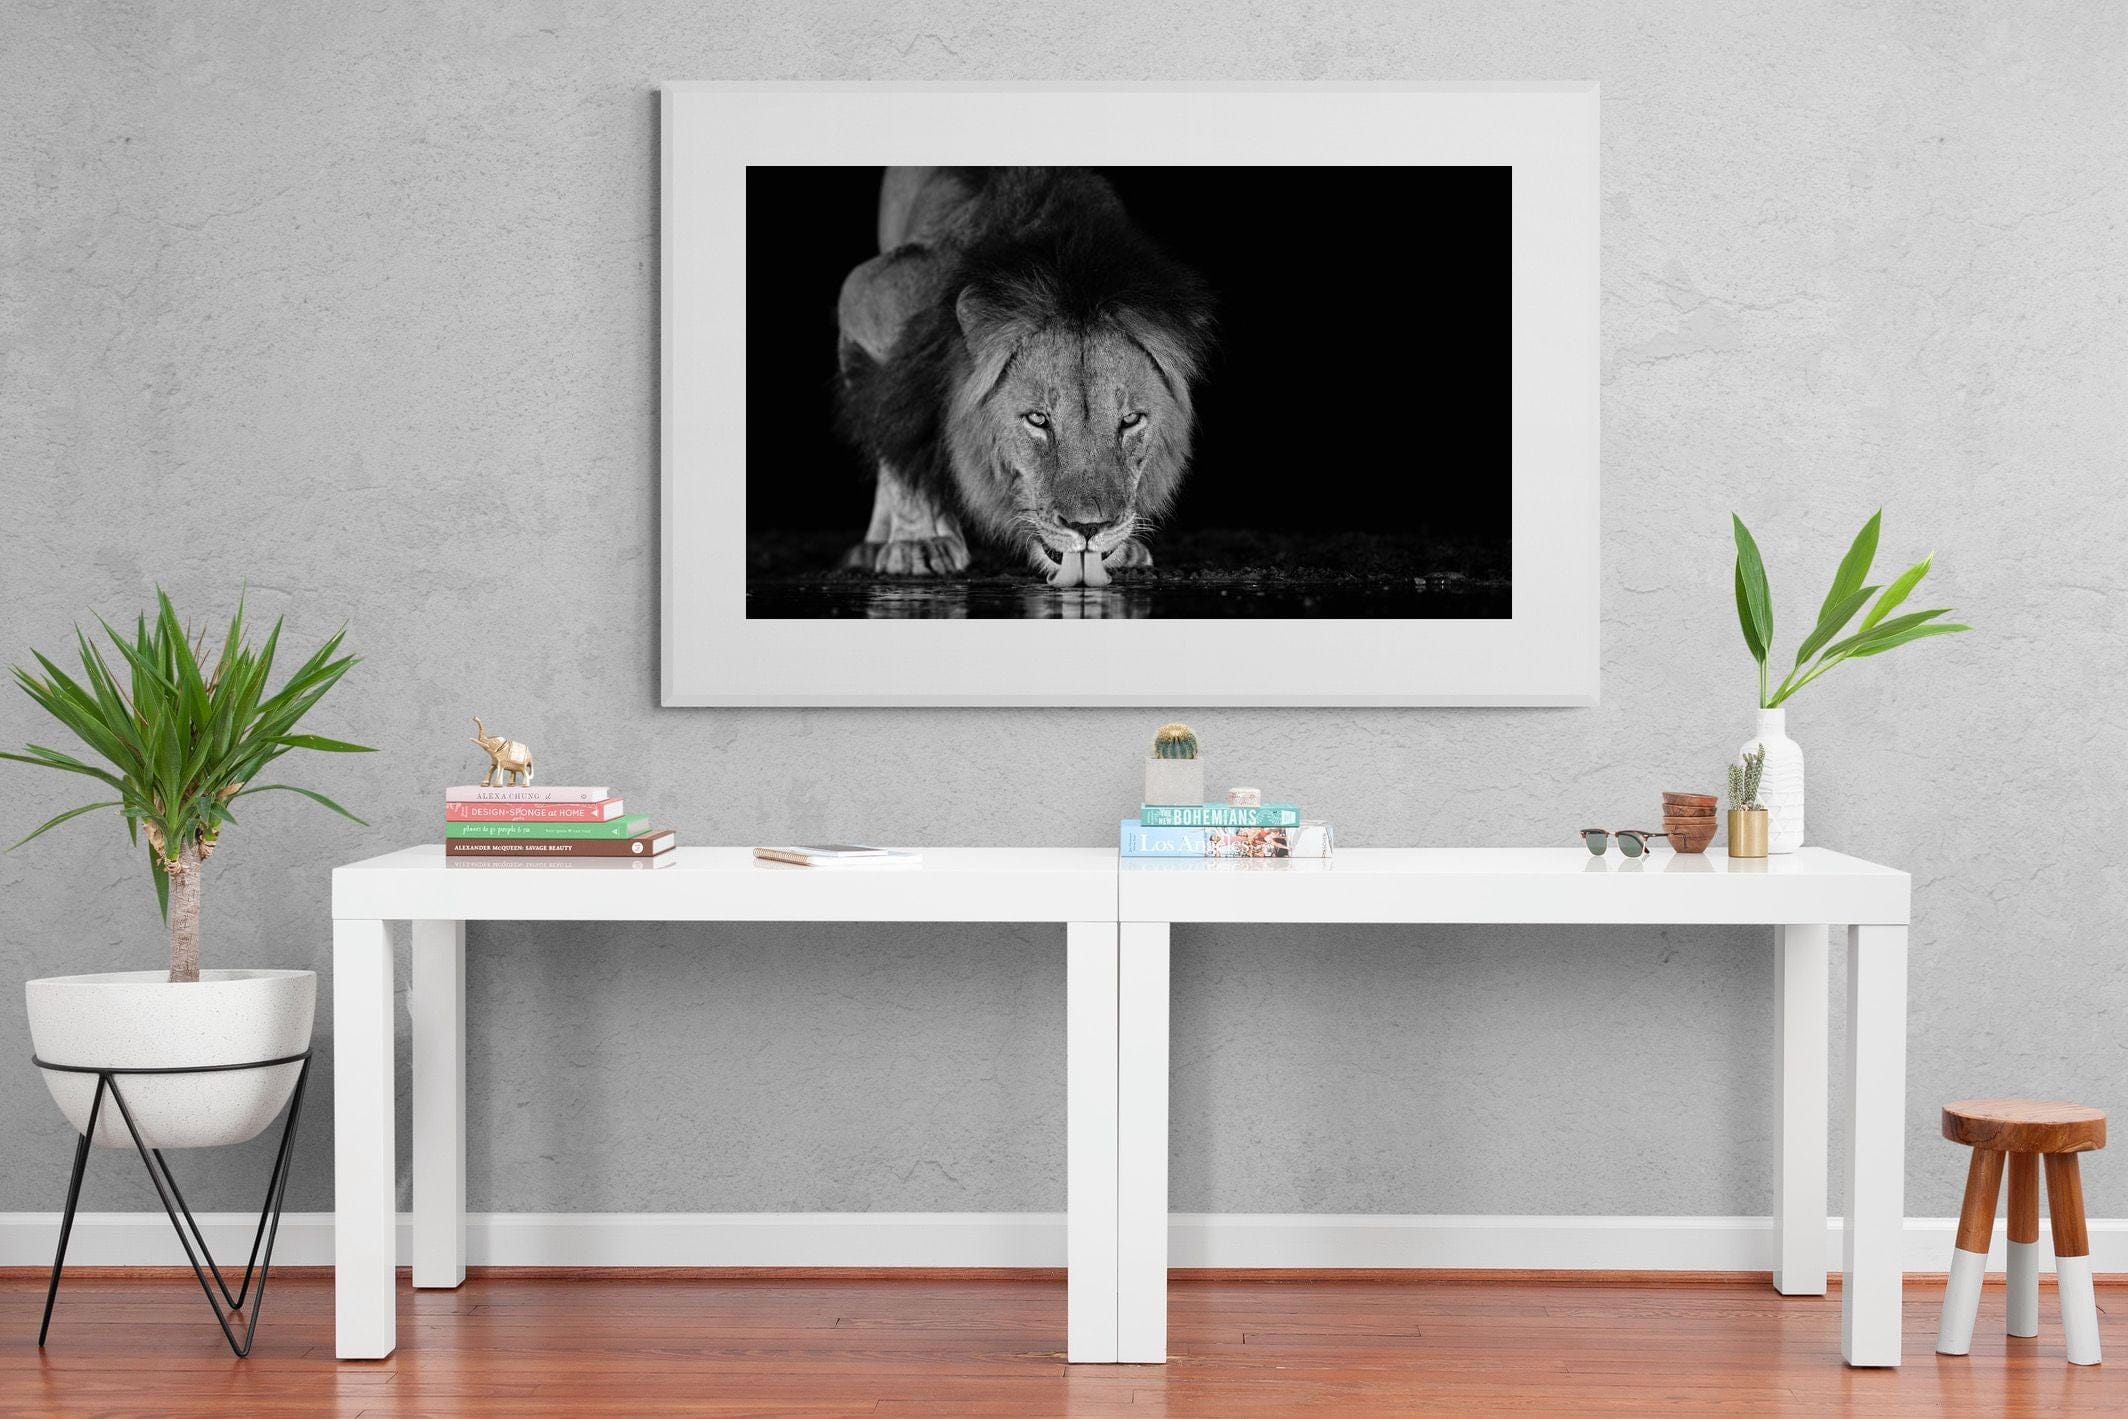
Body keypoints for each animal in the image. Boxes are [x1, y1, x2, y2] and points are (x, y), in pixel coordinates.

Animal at [832, 168, 1214, 586]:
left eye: (1130, 420)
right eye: (1037, 420)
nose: (1089, 528)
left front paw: (1123, 546)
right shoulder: (867, 296)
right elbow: (898, 429)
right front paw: (917, 542)